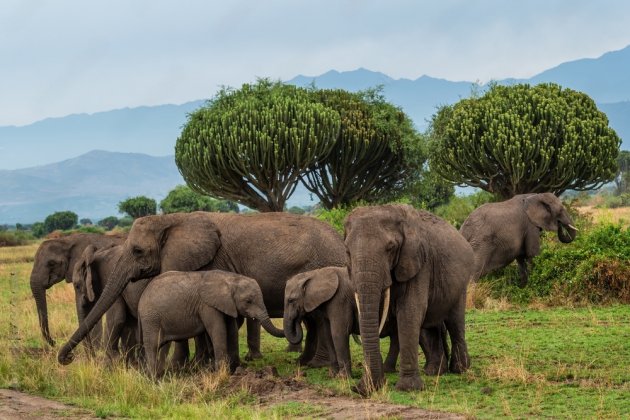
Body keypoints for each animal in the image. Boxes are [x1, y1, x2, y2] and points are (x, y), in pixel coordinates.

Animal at [58, 212, 346, 366]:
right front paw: (198, 365)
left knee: (318, 319)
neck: (171, 219)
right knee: (312, 321)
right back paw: (305, 363)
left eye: (137, 251)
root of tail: (340, 240)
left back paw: (315, 364)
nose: (66, 359)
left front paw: (186, 366)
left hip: (322, 266)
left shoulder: (209, 261)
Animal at [141, 270, 286, 378]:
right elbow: (217, 330)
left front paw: (235, 369)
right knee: (153, 345)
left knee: (163, 346)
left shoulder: (227, 304)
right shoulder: (207, 306)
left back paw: (159, 374)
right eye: (248, 301)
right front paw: (222, 373)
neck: (230, 279)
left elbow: (232, 330)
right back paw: (153, 378)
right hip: (150, 319)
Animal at [348, 205, 476, 396]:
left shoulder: (419, 263)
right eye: (347, 251)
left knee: (455, 321)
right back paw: (434, 372)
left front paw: (408, 389)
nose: (357, 389)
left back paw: (460, 369)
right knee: (430, 327)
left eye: (391, 248)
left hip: (461, 283)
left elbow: (410, 312)